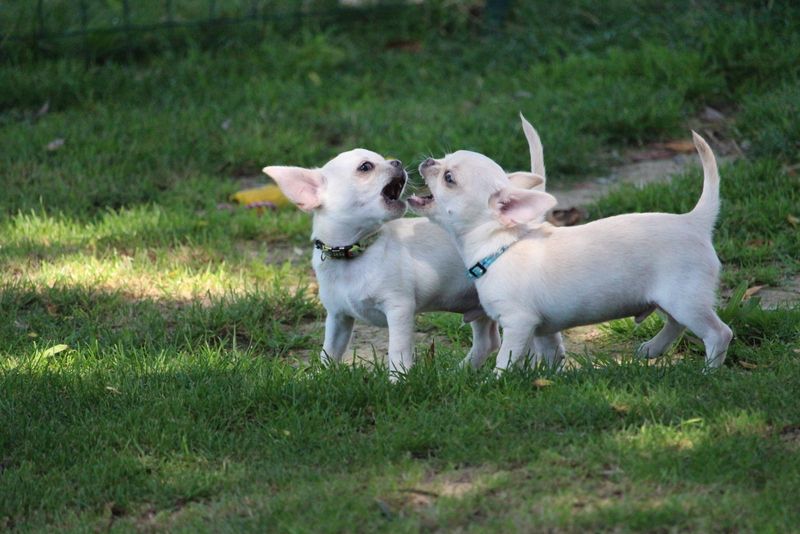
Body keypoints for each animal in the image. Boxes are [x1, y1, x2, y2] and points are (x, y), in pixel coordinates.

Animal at [266, 115, 548, 378]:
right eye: (366, 167)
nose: (397, 162)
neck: (354, 252)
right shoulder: (338, 318)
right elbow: (329, 351)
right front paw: (316, 377)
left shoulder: (399, 309)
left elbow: (397, 350)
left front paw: (397, 380)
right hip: (477, 305)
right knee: (488, 341)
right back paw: (461, 372)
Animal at [412, 132, 732, 374]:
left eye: (449, 178)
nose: (428, 161)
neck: (501, 245)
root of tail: (694, 220)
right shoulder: (543, 329)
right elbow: (552, 354)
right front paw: (550, 379)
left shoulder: (518, 322)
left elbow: (506, 358)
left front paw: (494, 383)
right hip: (671, 298)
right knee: (676, 323)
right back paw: (653, 348)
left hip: (684, 298)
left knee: (718, 333)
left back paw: (708, 372)